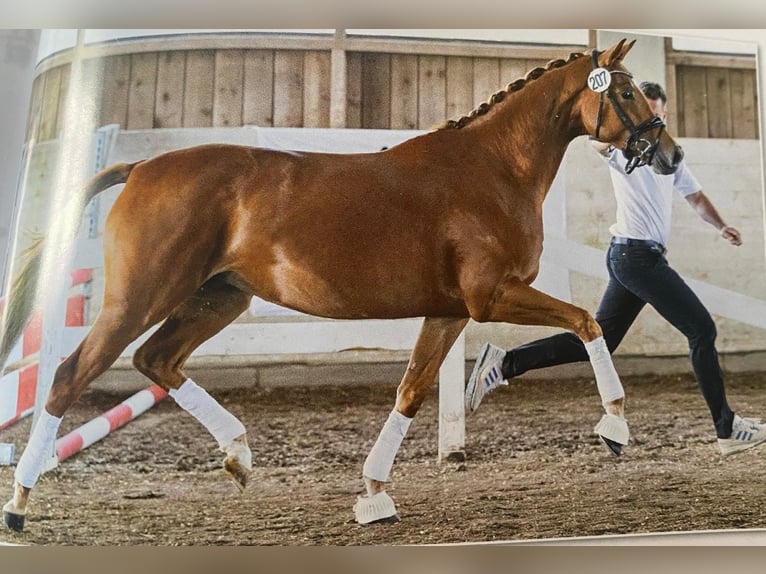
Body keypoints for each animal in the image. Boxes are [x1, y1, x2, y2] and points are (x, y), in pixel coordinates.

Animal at [0, 40, 684, 532]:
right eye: (626, 91)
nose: (671, 155)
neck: (492, 169)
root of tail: (141, 165)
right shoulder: (491, 296)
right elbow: (588, 323)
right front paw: (615, 427)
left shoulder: (449, 312)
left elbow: (410, 392)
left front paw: (375, 495)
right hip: (140, 297)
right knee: (70, 376)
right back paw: (20, 506)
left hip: (219, 297)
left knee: (156, 359)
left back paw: (239, 454)